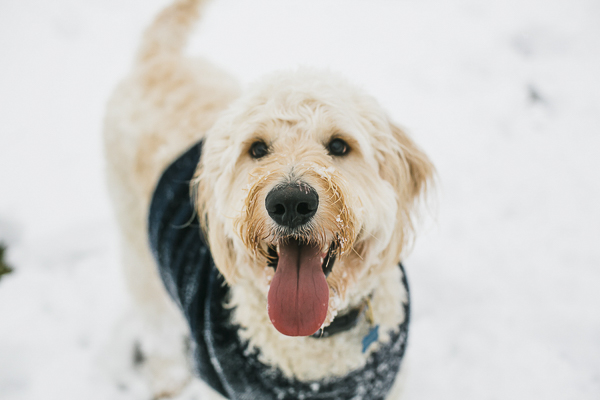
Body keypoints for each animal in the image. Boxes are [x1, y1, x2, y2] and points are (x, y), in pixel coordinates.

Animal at [102, 0, 432, 398]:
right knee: (159, 325)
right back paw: (167, 378)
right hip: (141, 255)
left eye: (339, 145)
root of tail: (157, 59)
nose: (291, 203)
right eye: (257, 148)